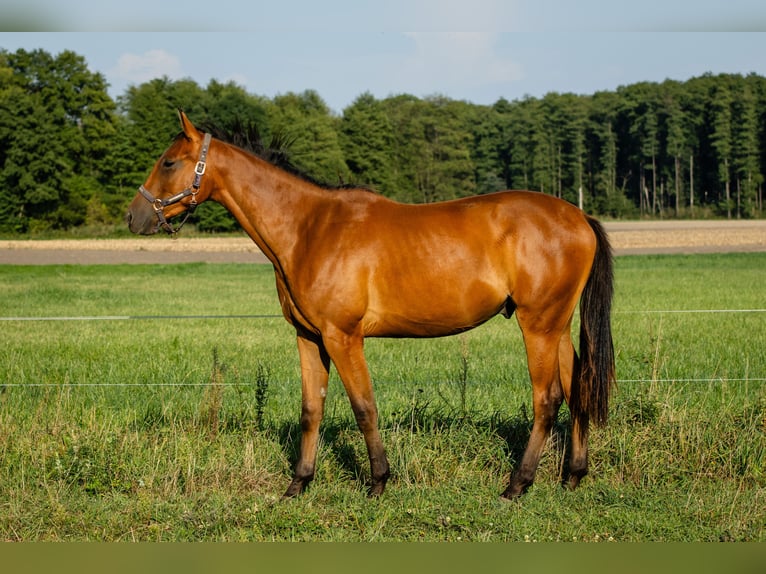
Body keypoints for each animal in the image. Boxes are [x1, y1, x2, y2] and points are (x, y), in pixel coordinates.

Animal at [127, 111, 616, 500]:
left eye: (169, 162)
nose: (134, 216)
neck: (309, 228)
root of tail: (579, 217)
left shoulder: (343, 337)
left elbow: (364, 407)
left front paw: (378, 480)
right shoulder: (309, 337)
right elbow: (312, 410)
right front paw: (298, 483)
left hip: (538, 326)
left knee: (547, 399)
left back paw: (518, 484)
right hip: (557, 326)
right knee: (577, 388)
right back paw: (572, 476)